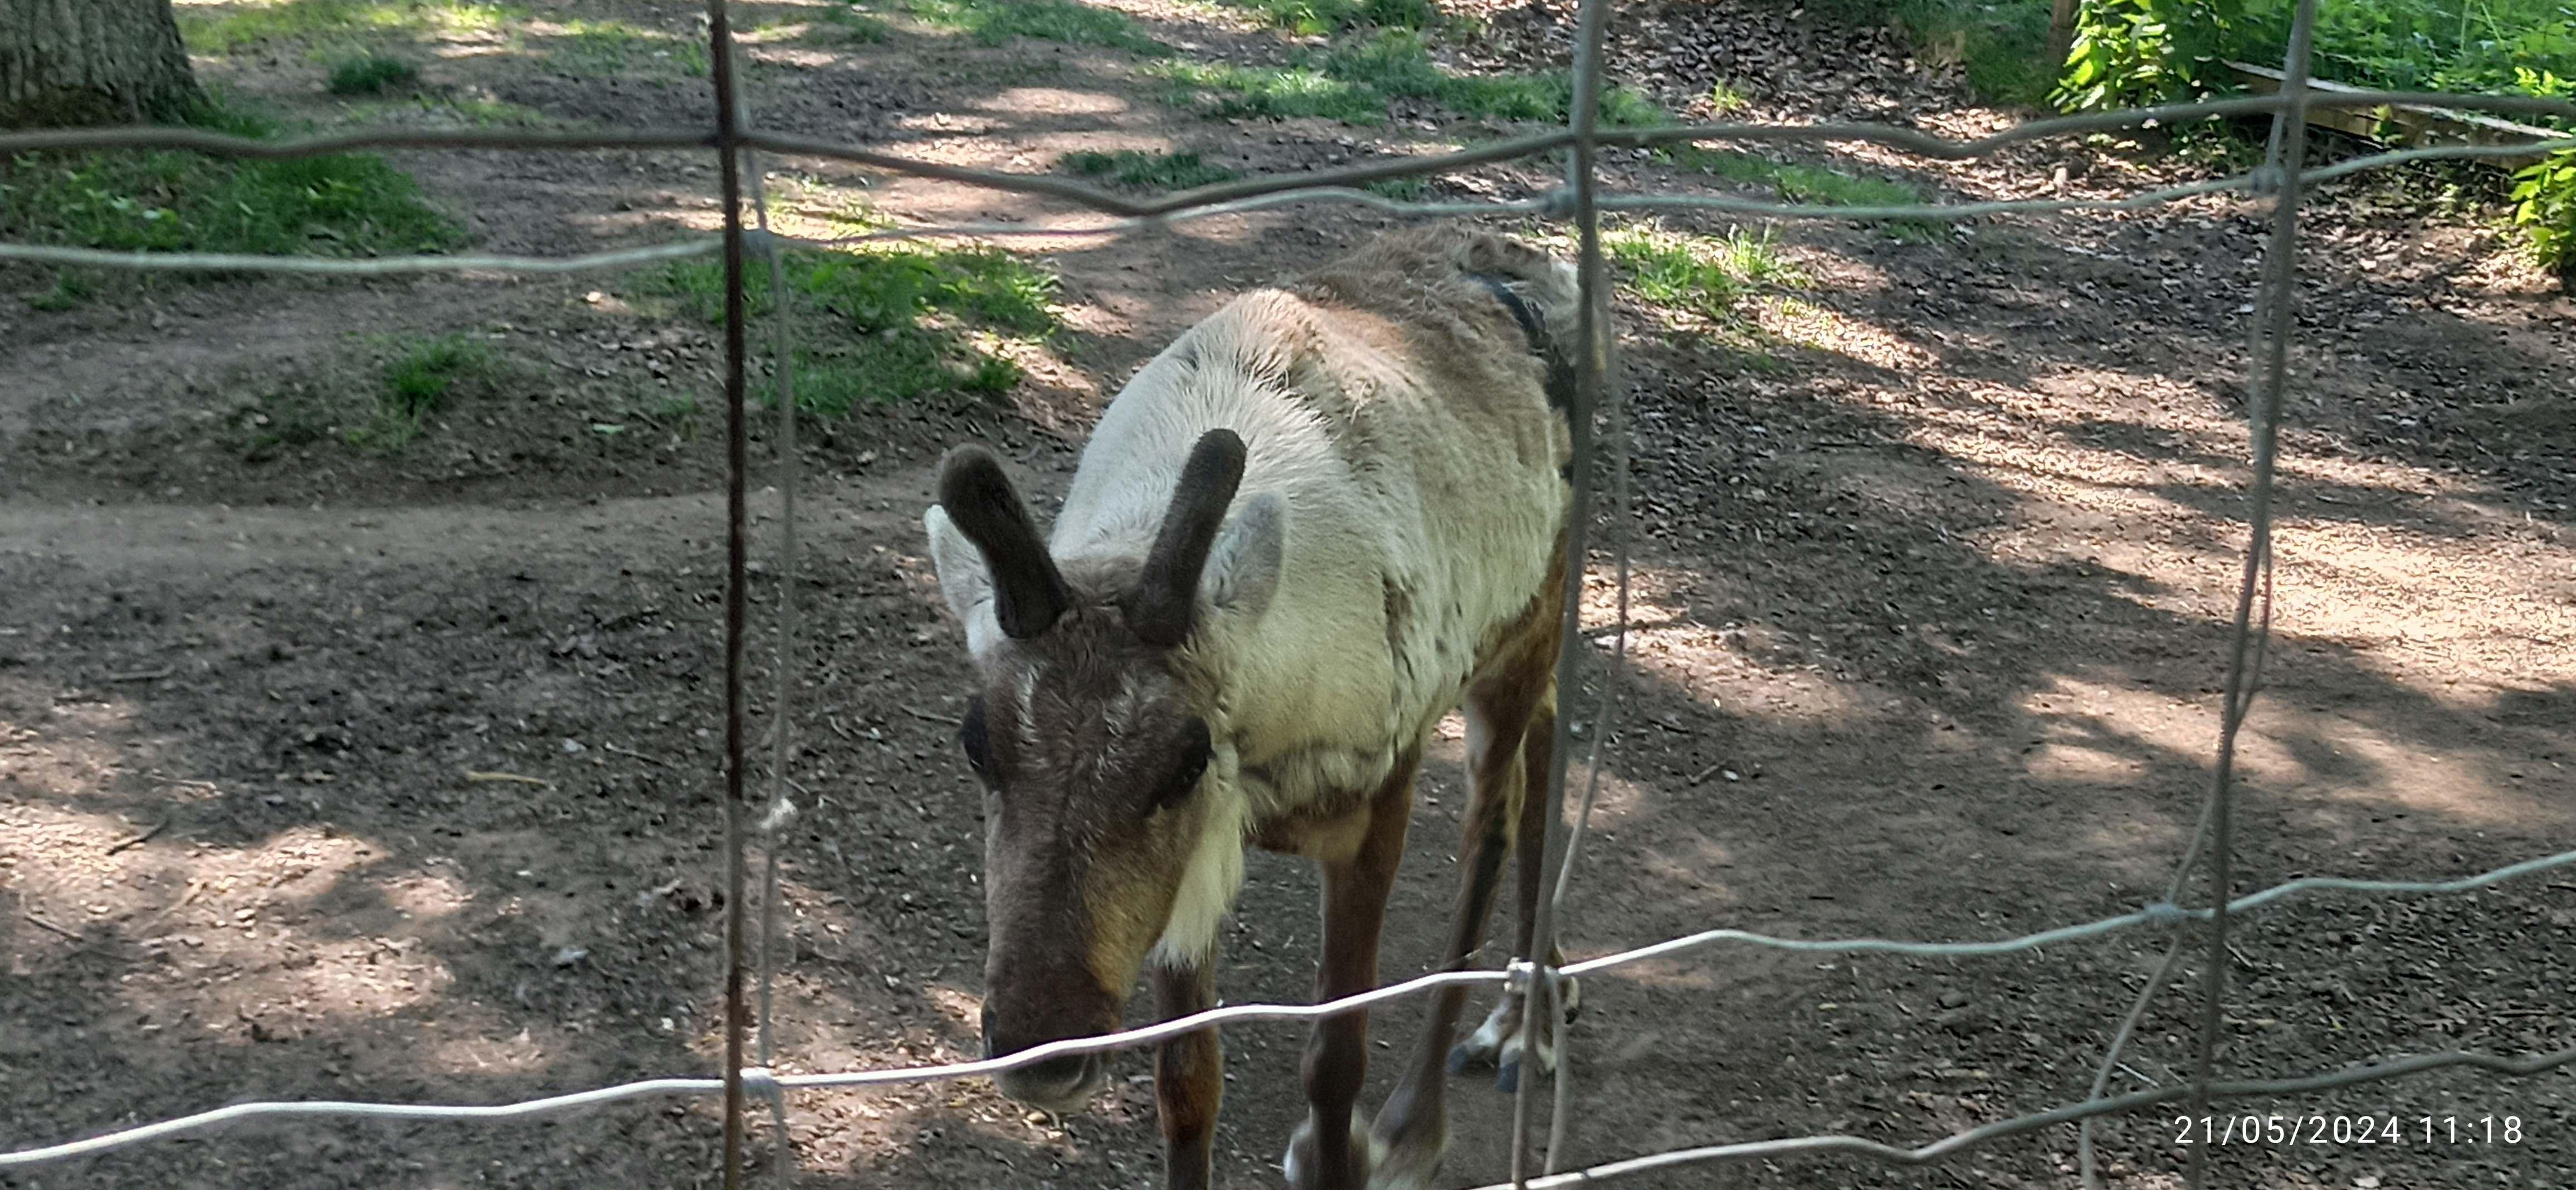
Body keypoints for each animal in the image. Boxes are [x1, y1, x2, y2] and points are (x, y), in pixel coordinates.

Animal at [921, 225, 1599, 1190]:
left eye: (1183, 759)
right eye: (976, 744)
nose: (1044, 1051)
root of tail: (1536, 258)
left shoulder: (1372, 805)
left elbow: (1334, 1063)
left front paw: (1346, 1149)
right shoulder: (1196, 854)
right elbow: (1186, 1081)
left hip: (1528, 626)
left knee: (1493, 824)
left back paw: (1433, 1107)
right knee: (1543, 740)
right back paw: (1534, 1000)